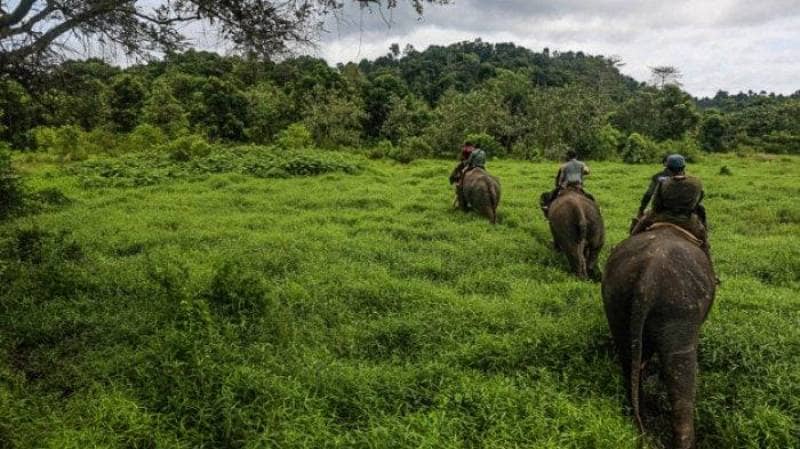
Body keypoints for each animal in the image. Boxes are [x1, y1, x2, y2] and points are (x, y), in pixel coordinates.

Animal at [600, 226, 720, 448]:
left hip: (615, 300)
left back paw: (641, 428)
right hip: (679, 311)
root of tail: (647, 280)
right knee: (681, 377)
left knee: (629, 364)